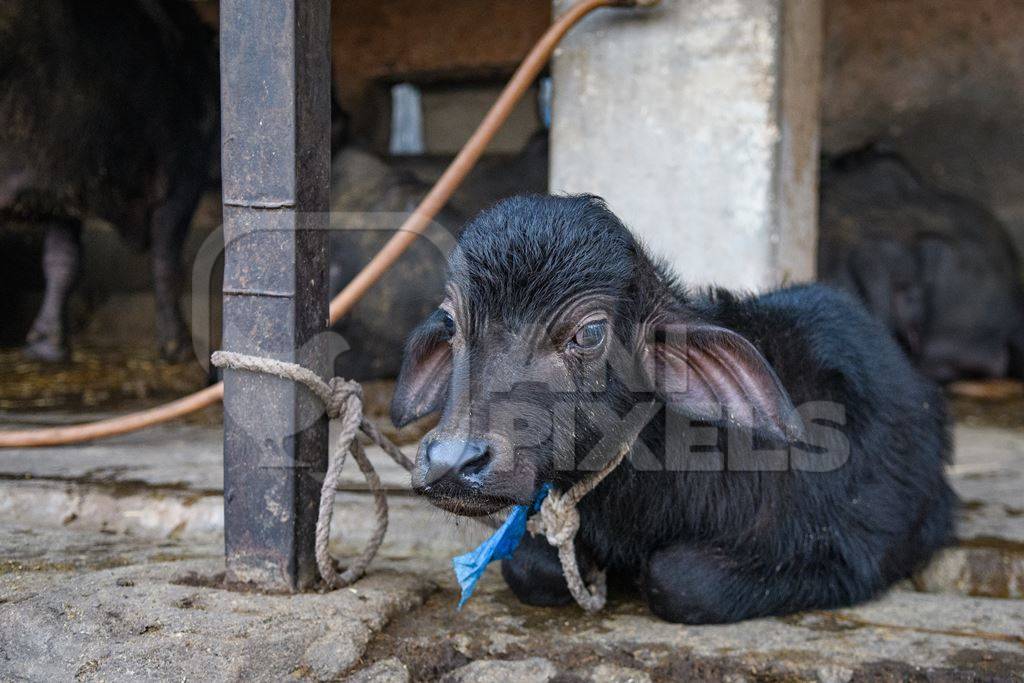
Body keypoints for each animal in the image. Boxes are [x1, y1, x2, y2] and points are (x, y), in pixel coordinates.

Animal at [389, 193, 950, 626]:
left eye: (589, 333)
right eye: (451, 322)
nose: (453, 462)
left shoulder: (850, 550)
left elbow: (677, 580)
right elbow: (529, 567)